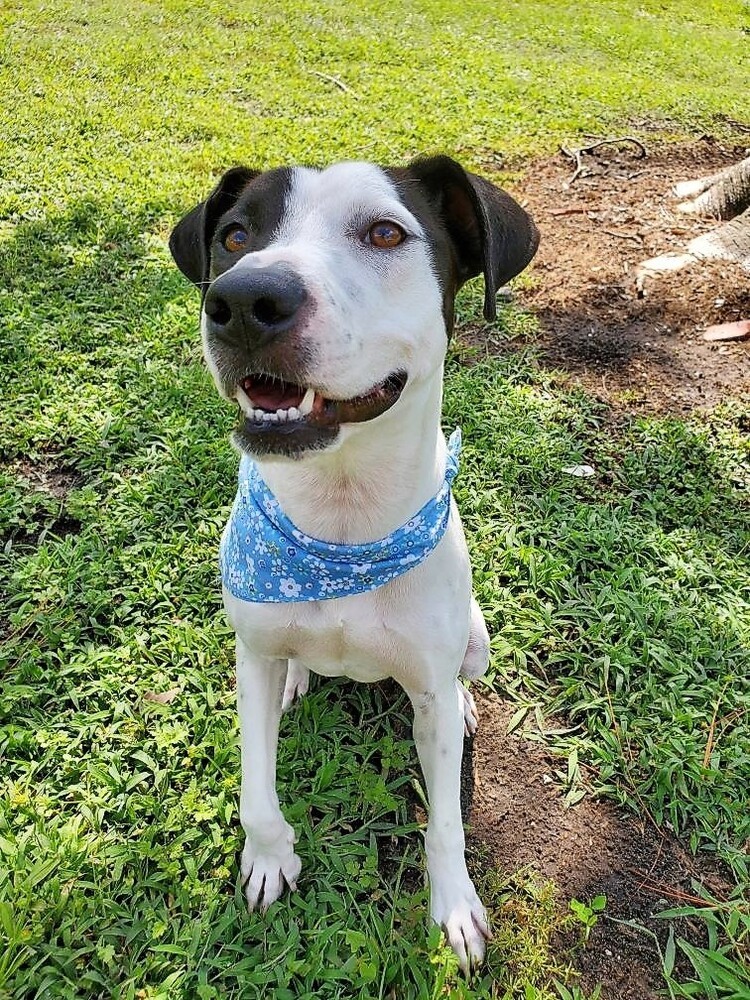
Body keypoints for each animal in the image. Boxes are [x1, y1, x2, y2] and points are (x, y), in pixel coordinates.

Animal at [170, 154, 536, 968]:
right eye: (235, 234)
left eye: (384, 233)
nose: (243, 301)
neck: (340, 527)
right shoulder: (249, 655)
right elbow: (255, 789)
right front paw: (268, 858)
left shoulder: (427, 691)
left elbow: (446, 824)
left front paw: (454, 907)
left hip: (474, 636)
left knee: (459, 681)